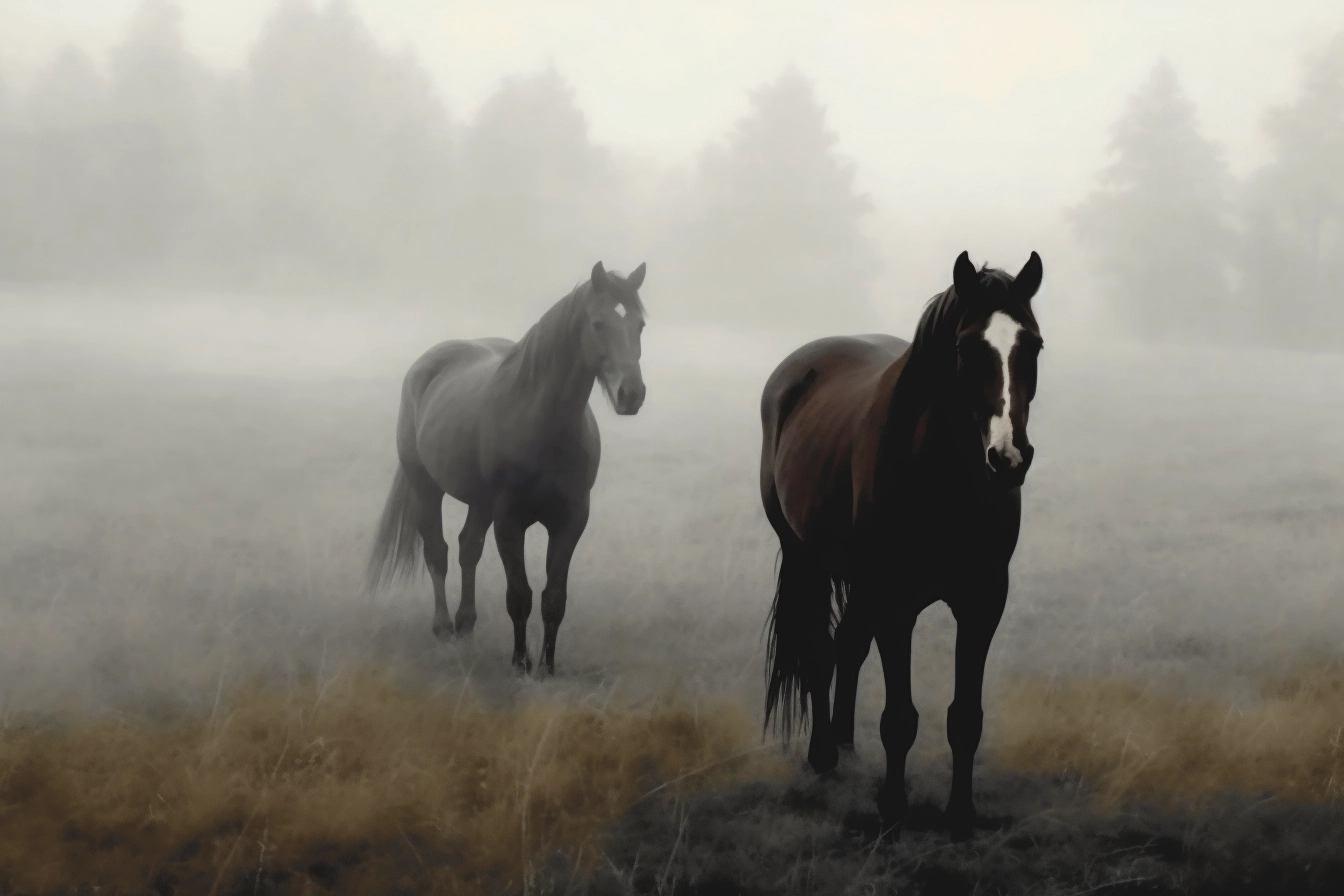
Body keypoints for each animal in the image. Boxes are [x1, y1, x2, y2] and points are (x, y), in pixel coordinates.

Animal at [362, 263, 645, 677]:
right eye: (597, 323)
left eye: (640, 324)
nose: (632, 394)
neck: (542, 425)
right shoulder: (509, 520)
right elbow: (519, 595)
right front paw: (520, 663)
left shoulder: (572, 519)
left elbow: (554, 598)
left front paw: (547, 666)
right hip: (426, 487)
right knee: (438, 552)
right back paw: (444, 629)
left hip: (480, 503)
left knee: (468, 549)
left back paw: (466, 624)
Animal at [763, 251, 1042, 843]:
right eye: (966, 348)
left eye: (1032, 345)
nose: (1008, 457)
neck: (943, 478)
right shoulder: (895, 601)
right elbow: (899, 717)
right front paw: (892, 809)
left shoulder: (983, 599)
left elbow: (965, 717)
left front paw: (960, 815)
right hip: (807, 558)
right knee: (820, 650)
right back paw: (823, 754)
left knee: (847, 645)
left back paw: (844, 743)